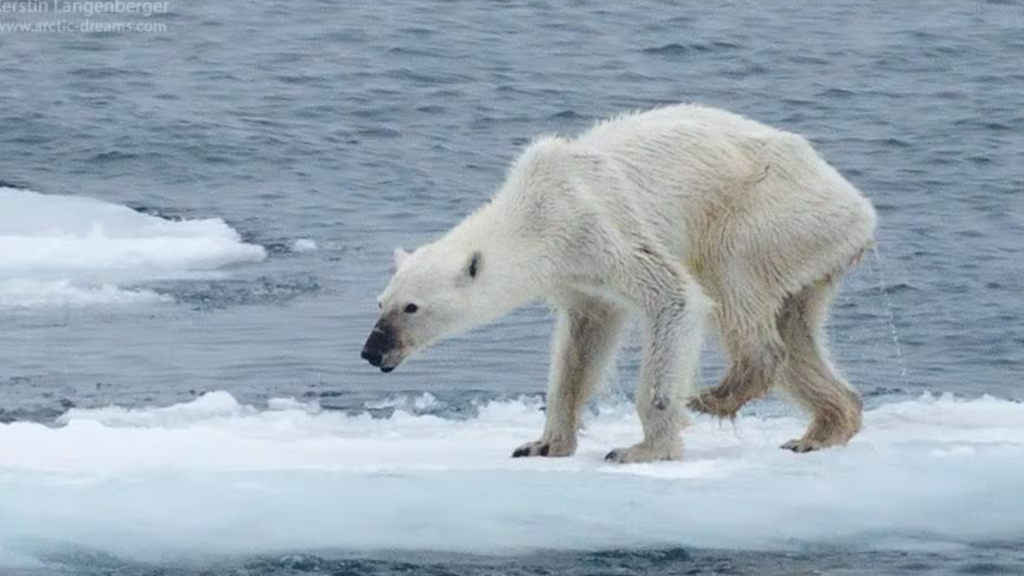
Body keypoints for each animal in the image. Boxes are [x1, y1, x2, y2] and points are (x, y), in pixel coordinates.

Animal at [361, 104, 876, 463]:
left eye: (411, 307)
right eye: (380, 302)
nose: (371, 351)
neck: (536, 210)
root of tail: (860, 208)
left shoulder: (599, 226)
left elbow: (675, 298)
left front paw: (642, 449)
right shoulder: (577, 276)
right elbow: (581, 345)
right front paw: (542, 444)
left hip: (771, 213)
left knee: (733, 281)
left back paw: (718, 395)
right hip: (810, 251)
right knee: (796, 331)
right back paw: (821, 430)